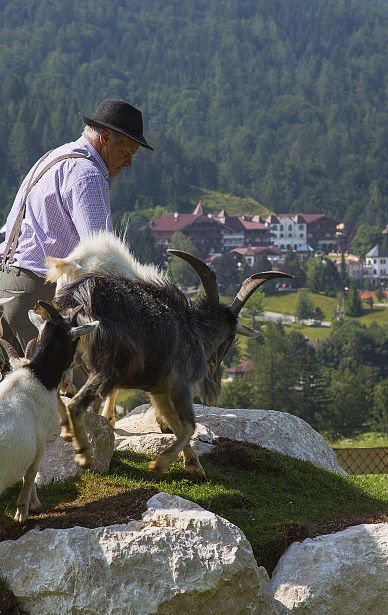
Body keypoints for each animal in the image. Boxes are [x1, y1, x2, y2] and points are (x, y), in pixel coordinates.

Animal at [53, 236, 292, 482]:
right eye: (231, 337)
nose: (213, 370)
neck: (194, 328)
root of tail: (81, 297)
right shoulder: (179, 383)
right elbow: (188, 426)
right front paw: (161, 463)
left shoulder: (158, 388)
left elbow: (178, 425)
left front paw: (193, 465)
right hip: (110, 366)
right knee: (77, 404)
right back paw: (84, 453)